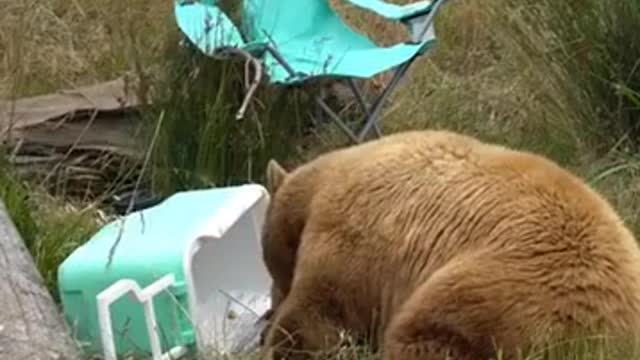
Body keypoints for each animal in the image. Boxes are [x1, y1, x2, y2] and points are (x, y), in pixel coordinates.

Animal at [258, 130, 640, 360]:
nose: (268, 307)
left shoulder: (347, 239)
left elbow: (318, 315)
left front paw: (275, 341)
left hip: (500, 292)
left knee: (423, 333)